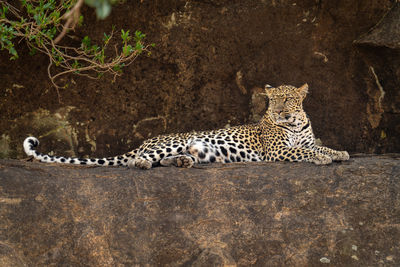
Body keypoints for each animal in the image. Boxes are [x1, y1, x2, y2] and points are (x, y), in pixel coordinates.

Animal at [24, 83, 350, 170]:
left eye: (290, 99)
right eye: (274, 101)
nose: (281, 112)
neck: (295, 124)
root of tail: (145, 141)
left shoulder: (306, 139)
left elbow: (319, 146)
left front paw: (340, 153)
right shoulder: (277, 152)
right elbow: (305, 153)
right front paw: (324, 158)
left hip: (195, 150)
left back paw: (182, 163)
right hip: (172, 142)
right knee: (137, 161)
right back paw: (144, 164)